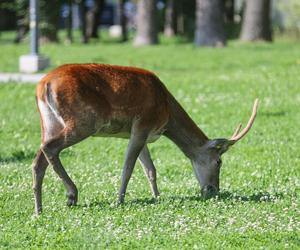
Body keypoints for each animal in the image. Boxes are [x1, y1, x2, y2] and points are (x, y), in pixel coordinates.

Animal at [32, 63, 258, 214]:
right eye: (219, 161)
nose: (213, 190)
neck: (167, 112)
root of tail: (43, 85)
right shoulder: (142, 125)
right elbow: (128, 167)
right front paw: (119, 200)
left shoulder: (141, 134)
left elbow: (150, 169)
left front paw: (157, 197)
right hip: (84, 121)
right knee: (50, 148)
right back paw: (72, 195)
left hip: (49, 123)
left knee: (39, 158)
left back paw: (39, 208)